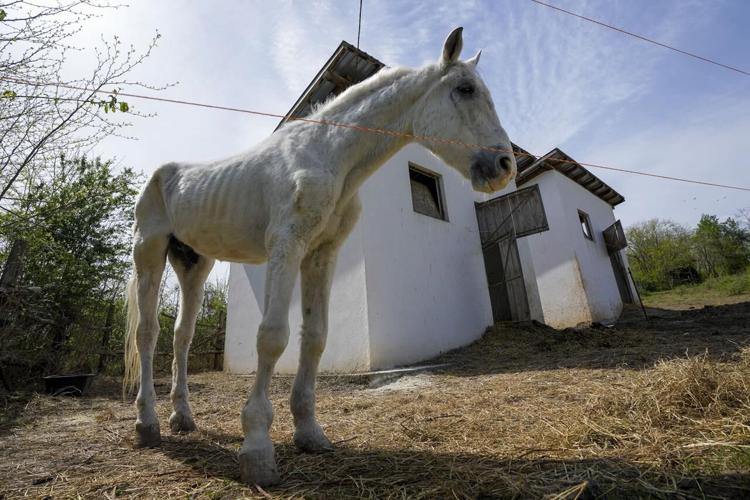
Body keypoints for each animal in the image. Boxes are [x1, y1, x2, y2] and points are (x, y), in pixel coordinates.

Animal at [123, 27, 517, 486]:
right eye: (465, 89)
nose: (504, 165)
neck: (327, 156)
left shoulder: (321, 254)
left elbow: (315, 337)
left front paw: (309, 432)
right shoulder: (286, 246)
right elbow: (273, 336)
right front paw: (257, 447)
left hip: (194, 265)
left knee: (180, 337)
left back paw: (182, 418)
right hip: (149, 252)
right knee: (147, 334)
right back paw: (147, 424)